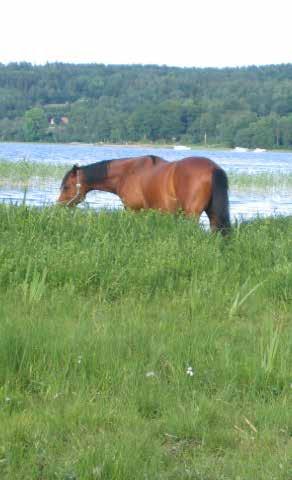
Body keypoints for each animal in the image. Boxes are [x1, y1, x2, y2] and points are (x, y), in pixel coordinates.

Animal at [57, 155, 230, 233]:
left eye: (66, 187)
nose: (59, 206)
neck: (127, 172)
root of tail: (213, 168)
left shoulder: (134, 211)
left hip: (191, 214)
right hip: (212, 213)